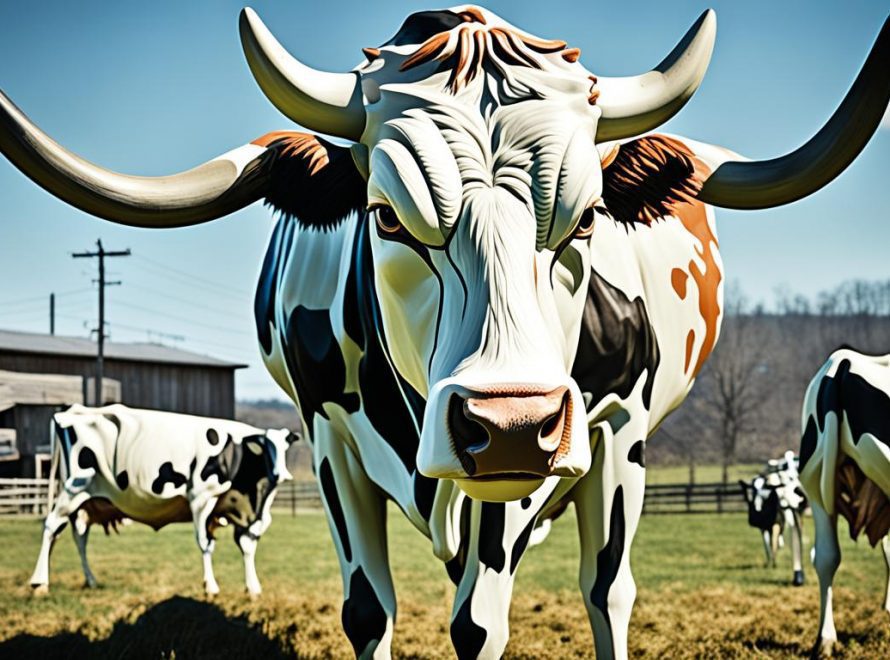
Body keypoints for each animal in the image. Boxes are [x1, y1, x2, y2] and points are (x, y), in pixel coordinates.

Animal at [29, 404, 296, 598]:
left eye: (285, 447)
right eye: (265, 447)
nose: (281, 474)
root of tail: (72, 410)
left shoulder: (242, 512)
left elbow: (247, 545)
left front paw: (253, 588)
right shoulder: (200, 498)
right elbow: (205, 544)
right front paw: (211, 587)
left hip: (85, 502)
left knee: (78, 536)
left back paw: (90, 580)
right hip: (73, 488)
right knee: (51, 526)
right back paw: (40, 583)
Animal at [739, 451, 806, 585]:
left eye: (766, 489)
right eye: (752, 490)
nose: (756, 510)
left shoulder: (776, 524)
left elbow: (773, 543)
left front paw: (775, 563)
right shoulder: (763, 527)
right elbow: (767, 546)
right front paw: (769, 562)